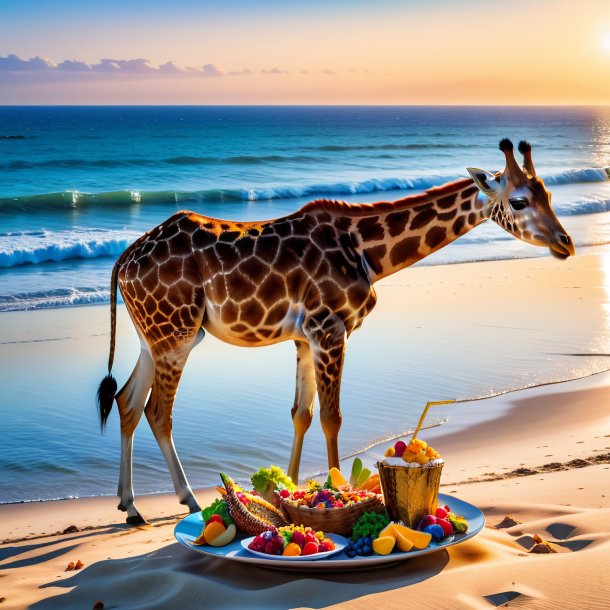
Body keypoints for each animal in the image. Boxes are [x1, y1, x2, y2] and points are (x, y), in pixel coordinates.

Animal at [97, 139, 572, 524]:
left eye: (549, 194)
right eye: (520, 201)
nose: (565, 243)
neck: (370, 254)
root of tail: (125, 259)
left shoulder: (305, 336)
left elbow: (301, 415)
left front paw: (289, 492)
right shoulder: (329, 328)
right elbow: (331, 417)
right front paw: (335, 490)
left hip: (155, 335)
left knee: (126, 402)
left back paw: (131, 506)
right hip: (176, 333)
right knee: (157, 411)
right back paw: (188, 501)